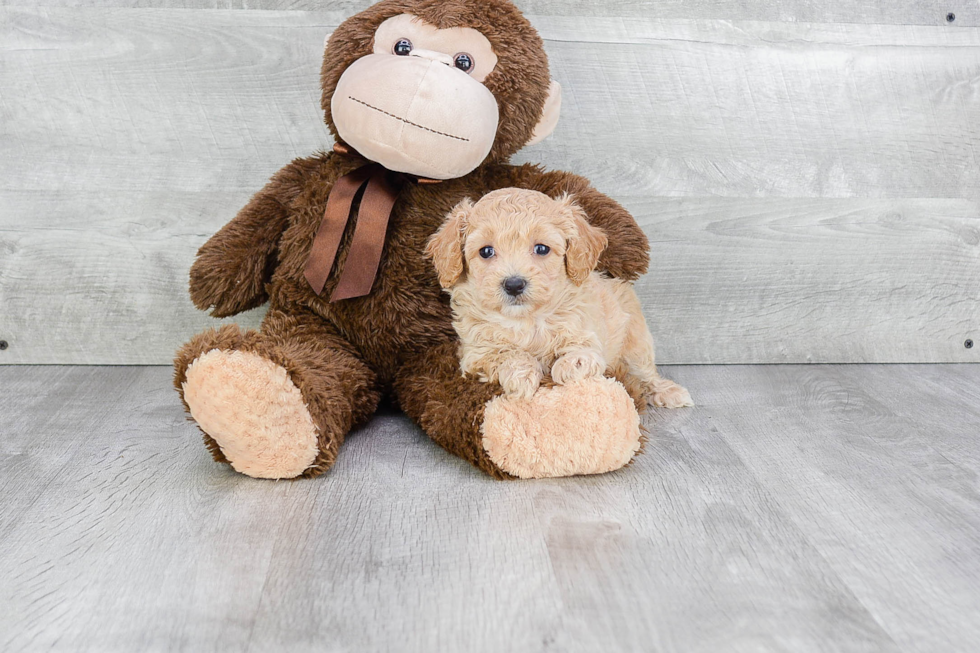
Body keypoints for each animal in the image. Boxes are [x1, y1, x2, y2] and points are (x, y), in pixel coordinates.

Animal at [424, 187, 692, 408]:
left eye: (541, 248)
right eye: (486, 251)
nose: (514, 284)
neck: (527, 320)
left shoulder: (587, 334)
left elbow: (583, 352)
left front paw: (571, 366)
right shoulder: (475, 354)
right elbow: (506, 353)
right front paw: (522, 374)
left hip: (636, 342)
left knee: (646, 372)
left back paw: (668, 391)